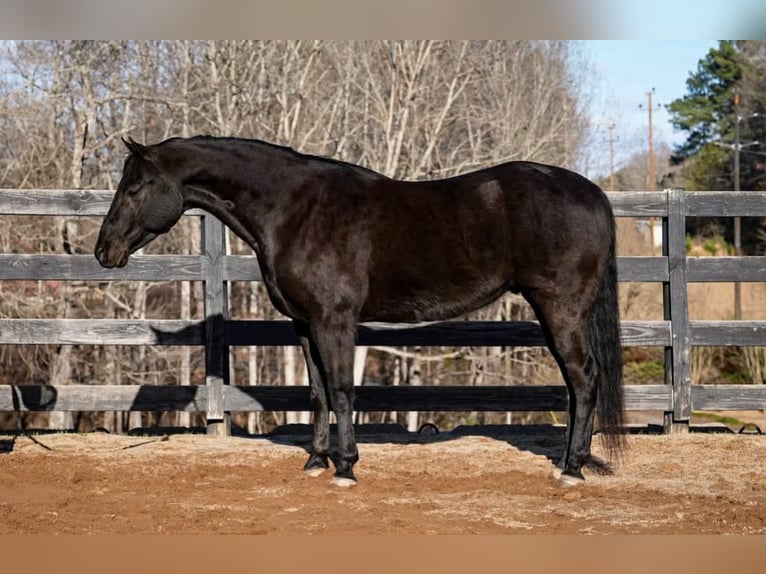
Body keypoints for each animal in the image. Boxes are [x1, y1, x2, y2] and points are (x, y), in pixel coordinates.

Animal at [95, 135, 625, 487]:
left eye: (136, 187)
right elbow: (317, 393)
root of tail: (591, 192)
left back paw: (572, 468)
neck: (296, 209)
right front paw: (316, 461)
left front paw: (346, 468)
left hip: (560, 309)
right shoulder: (304, 323)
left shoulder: (335, 320)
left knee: (584, 379)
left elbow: (342, 388)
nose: (103, 251)